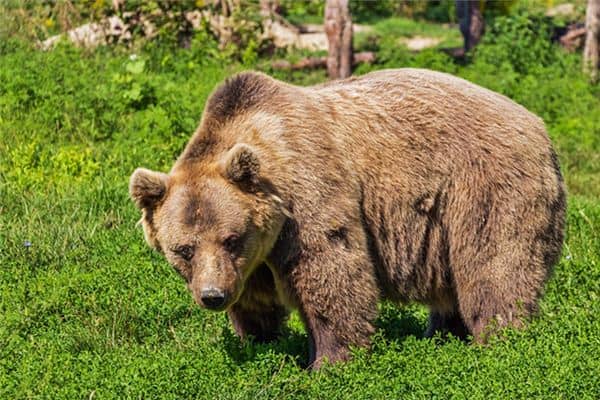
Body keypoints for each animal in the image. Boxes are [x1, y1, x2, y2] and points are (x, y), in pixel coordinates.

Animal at [129, 69, 564, 368]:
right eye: (183, 249)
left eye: (231, 238)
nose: (212, 296)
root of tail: (539, 124)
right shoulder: (252, 260)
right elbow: (255, 300)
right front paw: (259, 341)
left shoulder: (307, 196)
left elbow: (331, 271)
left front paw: (328, 361)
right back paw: (442, 334)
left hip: (485, 186)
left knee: (494, 266)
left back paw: (500, 339)